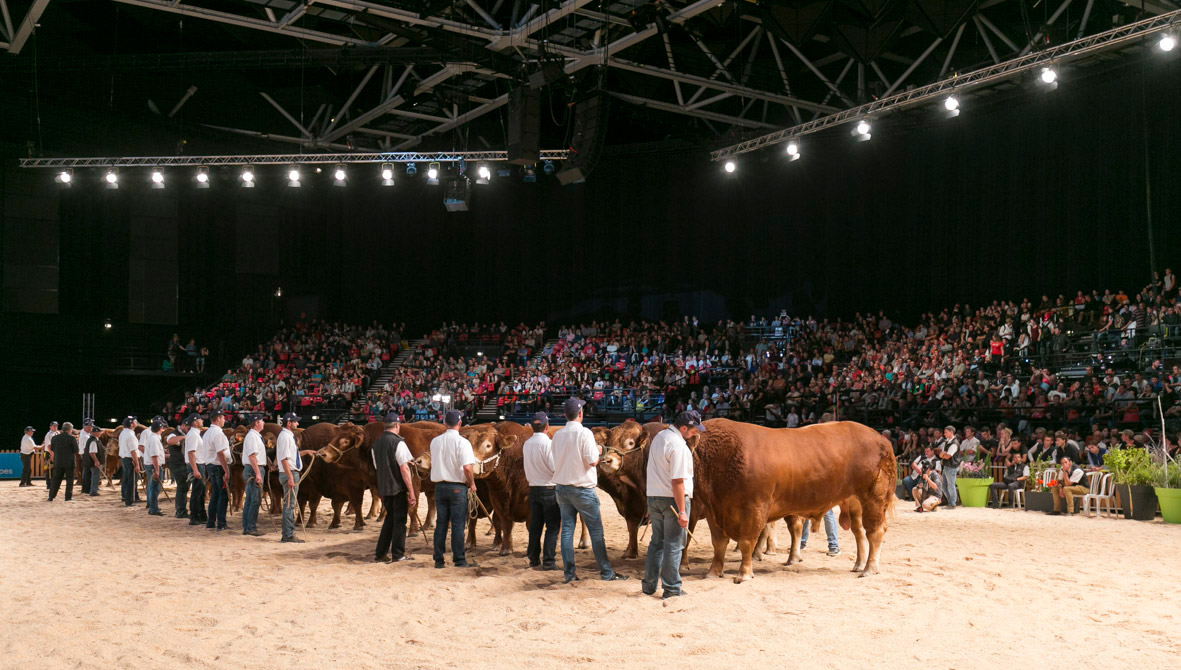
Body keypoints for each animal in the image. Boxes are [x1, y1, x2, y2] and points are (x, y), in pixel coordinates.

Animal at [689, 420, 892, 581]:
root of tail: (880, 438)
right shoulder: (713, 509)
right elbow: (719, 543)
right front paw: (713, 572)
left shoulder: (755, 507)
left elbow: (747, 541)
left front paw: (744, 574)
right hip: (854, 503)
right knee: (859, 532)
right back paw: (859, 564)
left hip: (874, 498)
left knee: (875, 531)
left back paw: (869, 568)